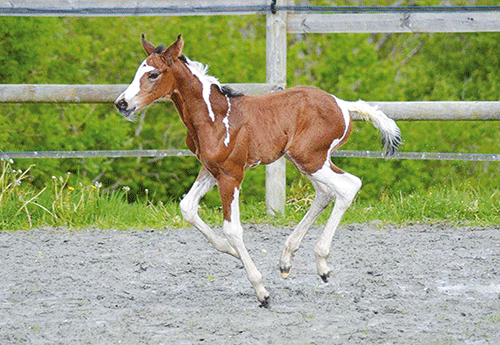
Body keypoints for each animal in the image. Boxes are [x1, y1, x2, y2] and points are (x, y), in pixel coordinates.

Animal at [115, 36, 400, 308]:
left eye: (153, 74)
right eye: (138, 71)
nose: (122, 103)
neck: (214, 117)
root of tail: (342, 104)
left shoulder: (231, 175)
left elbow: (232, 229)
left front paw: (262, 292)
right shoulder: (210, 170)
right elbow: (187, 208)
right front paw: (230, 251)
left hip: (310, 159)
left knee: (348, 186)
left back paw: (322, 264)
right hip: (308, 160)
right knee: (325, 193)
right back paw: (287, 260)